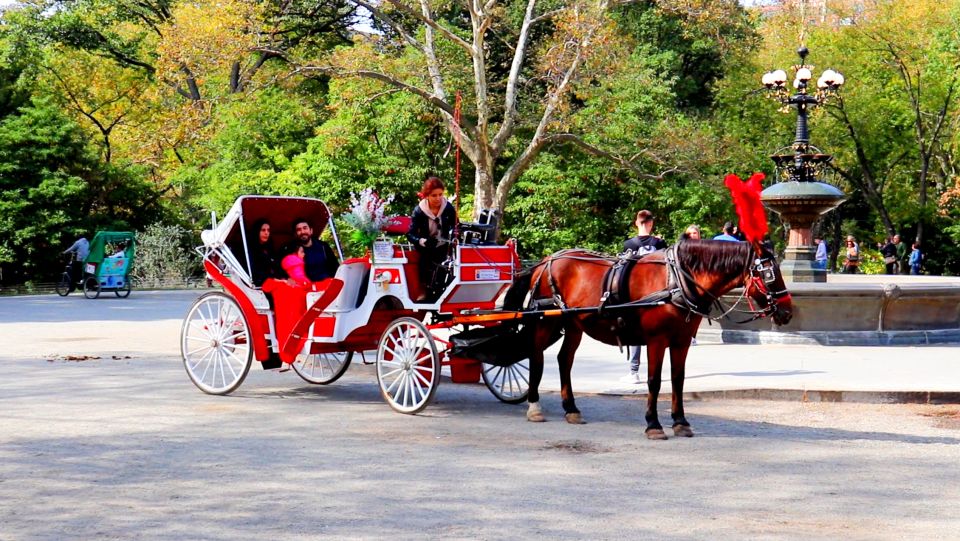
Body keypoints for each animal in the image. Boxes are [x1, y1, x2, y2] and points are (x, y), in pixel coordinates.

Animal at [510, 240, 796, 438]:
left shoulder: (681, 341)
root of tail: (547, 260)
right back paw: (534, 405)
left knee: (564, 360)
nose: (787, 311)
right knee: (536, 356)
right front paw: (653, 424)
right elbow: (654, 381)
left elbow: (678, 380)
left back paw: (571, 409)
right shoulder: (657, 340)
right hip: (546, 320)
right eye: (769, 274)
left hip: (573, 324)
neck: (677, 281)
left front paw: (680, 422)